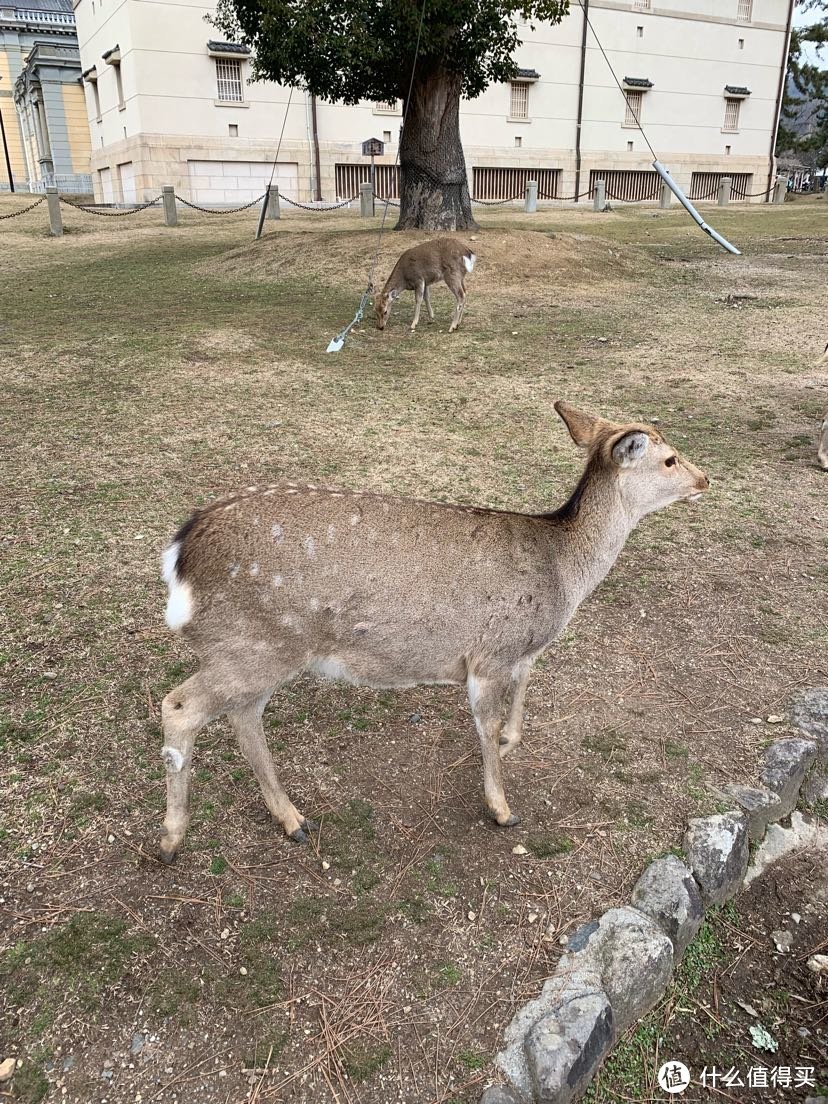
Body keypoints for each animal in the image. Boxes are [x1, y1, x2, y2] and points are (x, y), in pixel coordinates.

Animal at [154, 401, 706, 865]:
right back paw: (172, 839)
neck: (564, 577)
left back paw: (293, 821)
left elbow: (525, 686)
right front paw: (502, 808)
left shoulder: (519, 651)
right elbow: (484, 727)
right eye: (670, 459)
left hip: (258, 650)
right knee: (180, 706)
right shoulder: (489, 654)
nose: (705, 478)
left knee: (243, 716)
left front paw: (513, 740)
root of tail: (179, 555)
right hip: (256, 644)